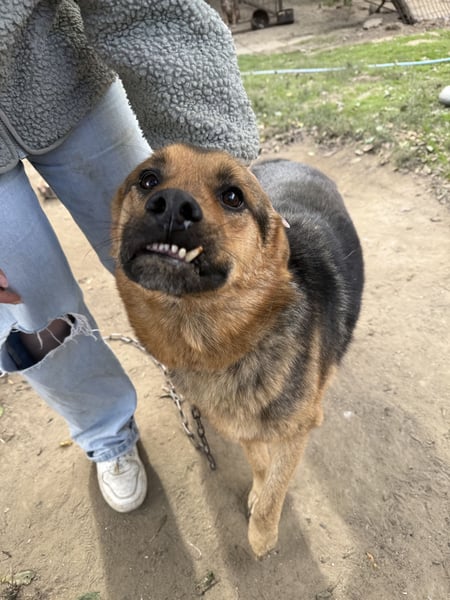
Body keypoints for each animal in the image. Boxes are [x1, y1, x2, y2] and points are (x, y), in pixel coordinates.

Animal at [111, 143, 364, 558]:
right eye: (148, 179)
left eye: (233, 197)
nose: (171, 204)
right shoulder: (242, 424)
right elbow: (260, 463)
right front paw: (258, 492)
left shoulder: (296, 431)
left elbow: (276, 486)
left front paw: (262, 533)